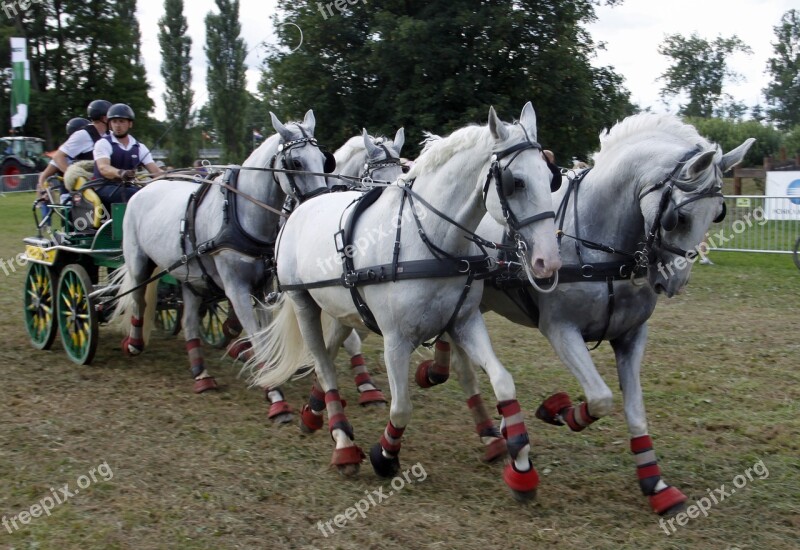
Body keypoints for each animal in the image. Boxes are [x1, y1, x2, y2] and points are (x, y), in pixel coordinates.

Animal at [113, 111, 334, 422]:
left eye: (324, 159)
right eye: (295, 163)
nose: (319, 205)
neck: (241, 213)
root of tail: (144, 186)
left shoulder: (261, 287)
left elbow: (262, 333)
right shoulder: (236, 288)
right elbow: (256, 337)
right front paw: (275, 396)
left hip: (189, 276)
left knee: (189, 320)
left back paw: (201, 374)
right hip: (137, 261)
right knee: (137, 299)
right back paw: (133, 343)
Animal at [244, 103, 564, 500]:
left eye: (550, 176)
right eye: (516, 182)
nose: (548, 261)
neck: (427, 239)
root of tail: (303, 206)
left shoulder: (464, 321)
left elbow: (502, 381)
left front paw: (520, 463)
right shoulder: (396, 340)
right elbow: (401, 408)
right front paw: (384, 455)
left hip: (342, 309)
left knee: (330, 352)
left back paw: (314, 413)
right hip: (303, 302)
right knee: (322, 361)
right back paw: (342, 441)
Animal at [416, 113, 752, 516]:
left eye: (718, 213)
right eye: (679, 217)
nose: (674, 282)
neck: (599, 242)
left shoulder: (631, 336)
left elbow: (635, 409)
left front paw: (655, 483)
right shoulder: (560, 330)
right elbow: (600, 398)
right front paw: (558, 410)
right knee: (464, 364)